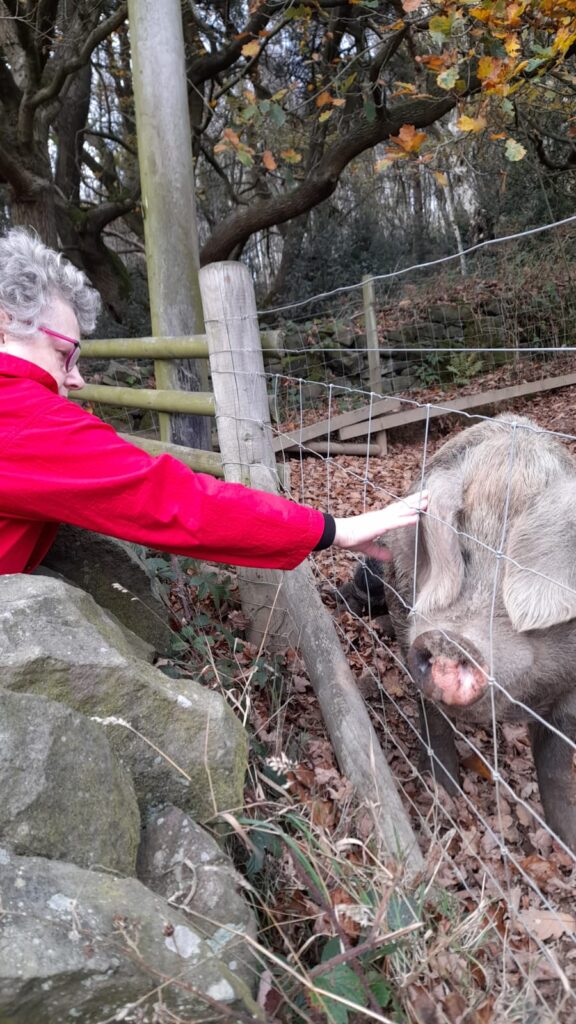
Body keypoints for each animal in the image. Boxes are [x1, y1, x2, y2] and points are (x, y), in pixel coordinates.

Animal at [348, 411, 573, 851]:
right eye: (463, 554)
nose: (447, 638)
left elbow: (556, 766)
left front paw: (566, 843)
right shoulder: (408, 624)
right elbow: (432, 721)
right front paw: (443, 796)